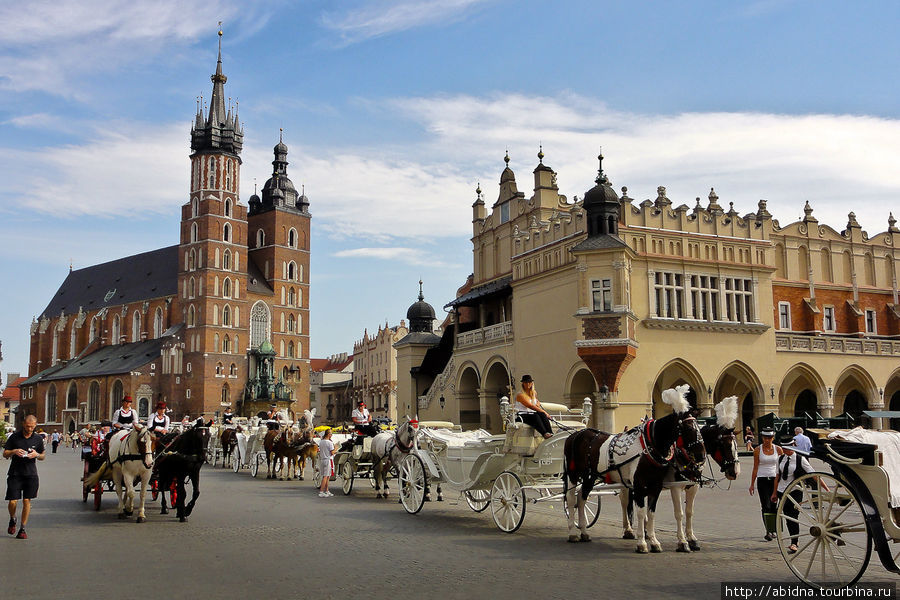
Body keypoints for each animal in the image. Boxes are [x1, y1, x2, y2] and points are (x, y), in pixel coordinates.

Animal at [564, 384, 704, 552]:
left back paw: (584, 532)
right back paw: (572, 533)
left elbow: (652, 513)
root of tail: (576, 434)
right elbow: (642, 513)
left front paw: (654, 542)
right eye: (689, 428)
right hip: (573, 474)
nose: (701, 455)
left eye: (700, 428)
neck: (649, 445)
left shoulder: (655, 486)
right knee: (571, 499)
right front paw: (642, 543)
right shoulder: (640, 486)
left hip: (590, 476)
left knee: (582, 498)